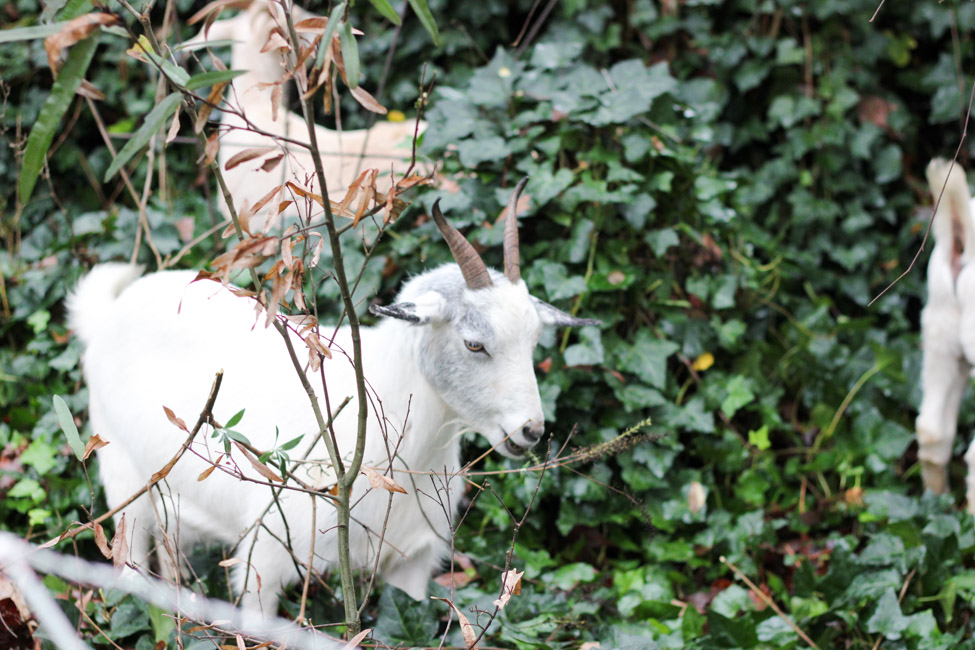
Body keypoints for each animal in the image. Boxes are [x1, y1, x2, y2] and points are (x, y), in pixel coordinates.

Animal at [67, 181, 597, 614]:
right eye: (474, 344)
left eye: (534, 340)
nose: (530, 429)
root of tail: (108, 311)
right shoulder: (265, 559)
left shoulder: (413, 562)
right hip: (122, 480)